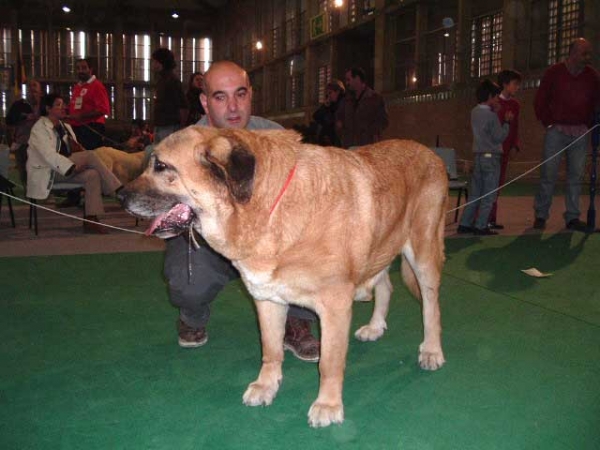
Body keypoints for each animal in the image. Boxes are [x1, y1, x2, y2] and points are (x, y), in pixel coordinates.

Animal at [118, 125, 446, 426]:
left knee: (431, 307)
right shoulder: (267, 299)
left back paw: (431, 350)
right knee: (386, 285)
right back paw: (375, 327)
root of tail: (429, 152)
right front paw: (266, 386)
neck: (267, 208)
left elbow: (329, 363)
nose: (119, 195)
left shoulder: (335, 307)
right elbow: (271, 349)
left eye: (162, 166)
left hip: (422, 254)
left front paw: (328, 405)